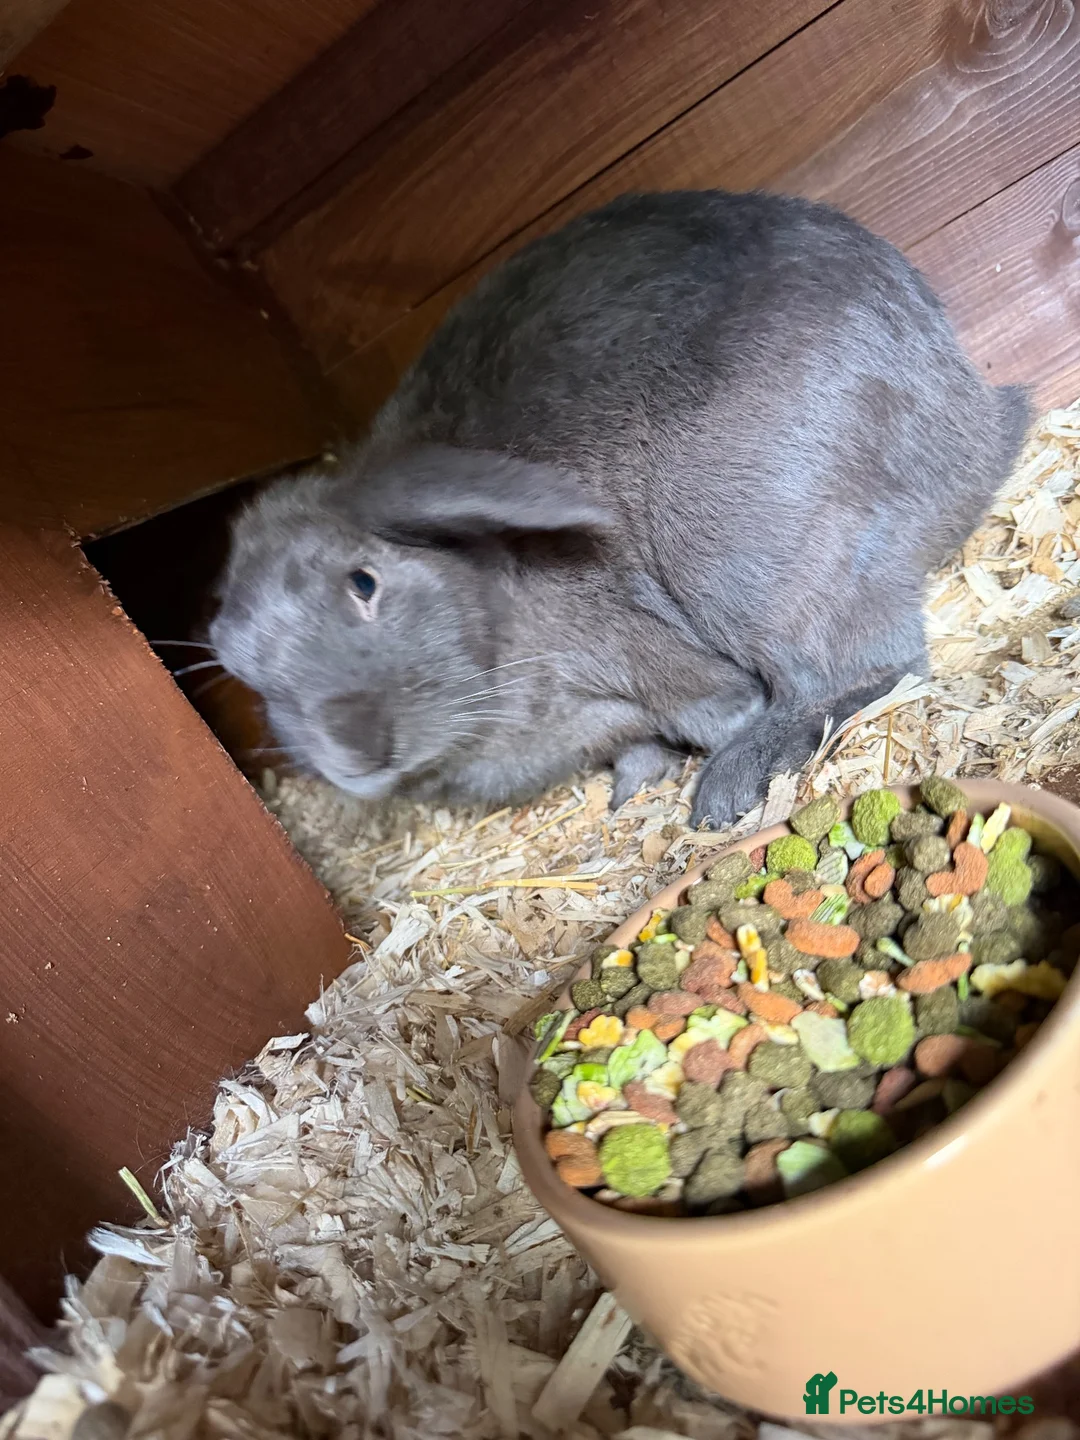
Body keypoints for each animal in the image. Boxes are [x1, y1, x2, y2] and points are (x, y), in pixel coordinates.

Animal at [211, 189, 1030, 827]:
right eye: (238, 666)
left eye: (364, 582)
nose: (354, 754)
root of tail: (979, 424)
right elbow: (634, 744)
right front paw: (632, 788)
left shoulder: (646, 663)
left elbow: (710, 703)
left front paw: (704, 755)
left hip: (737, 553)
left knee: (861, 668)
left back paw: (730, 786)